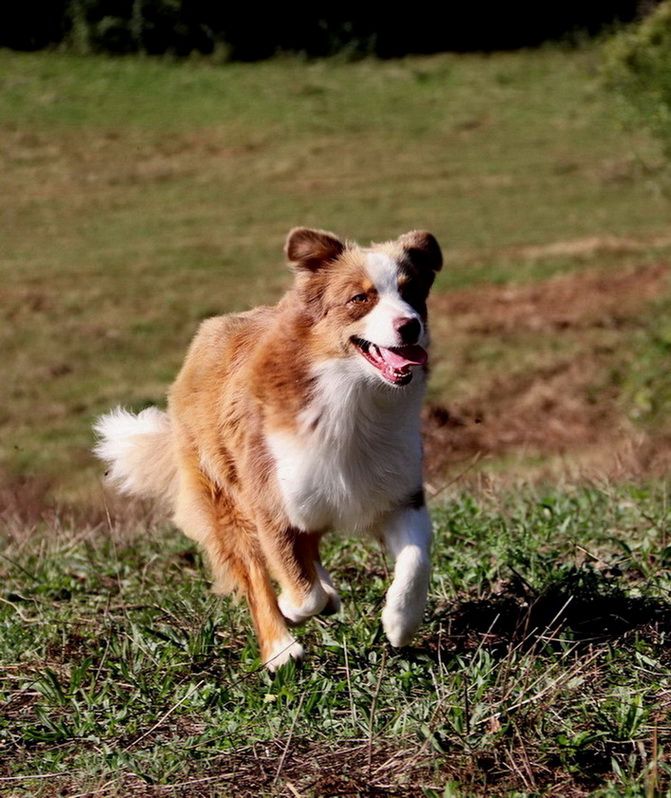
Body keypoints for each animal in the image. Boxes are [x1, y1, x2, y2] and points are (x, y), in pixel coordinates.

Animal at [94, 228, 440, 672]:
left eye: (412, 291)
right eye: (360, 298)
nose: (410, 327)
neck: (352, 398)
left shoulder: (396, 491)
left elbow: (416, 560)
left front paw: (399, 623)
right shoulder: (271, 501)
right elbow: (300, 589)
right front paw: (293, 609)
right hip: (224, 496)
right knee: (256, 573)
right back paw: (281, 647)